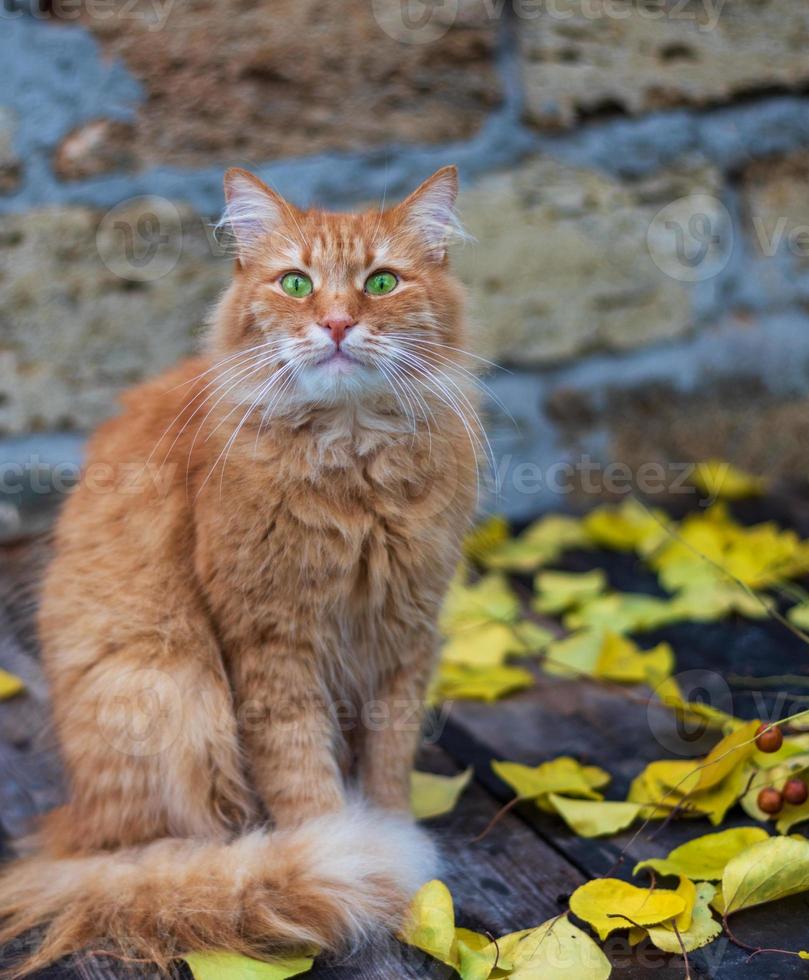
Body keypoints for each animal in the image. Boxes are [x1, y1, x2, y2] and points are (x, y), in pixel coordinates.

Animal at [0, 168, 480, 972]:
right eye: (296, 283)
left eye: (381, 282)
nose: (338, 324)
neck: (353, 465)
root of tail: (74, 831)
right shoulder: (271, 641)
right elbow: (302, 776)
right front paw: (345, 848)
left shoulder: (402, 635)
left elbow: (387, 763)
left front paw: (395, 843)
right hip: (170, 684)